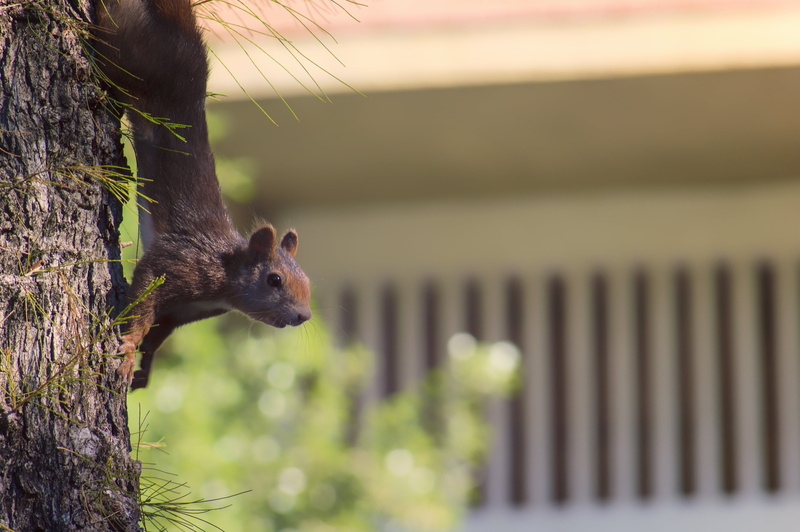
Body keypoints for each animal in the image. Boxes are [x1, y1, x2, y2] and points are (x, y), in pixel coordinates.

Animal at [94, 0, 312, 390]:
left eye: (308, 282)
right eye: (274, 280)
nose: (303, 316)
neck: (224, 280)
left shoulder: (182, 312)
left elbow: (157, 333)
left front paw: (144, 369)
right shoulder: (178, 264)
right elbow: (142, 304)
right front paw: (128, 350)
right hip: (128, 51)